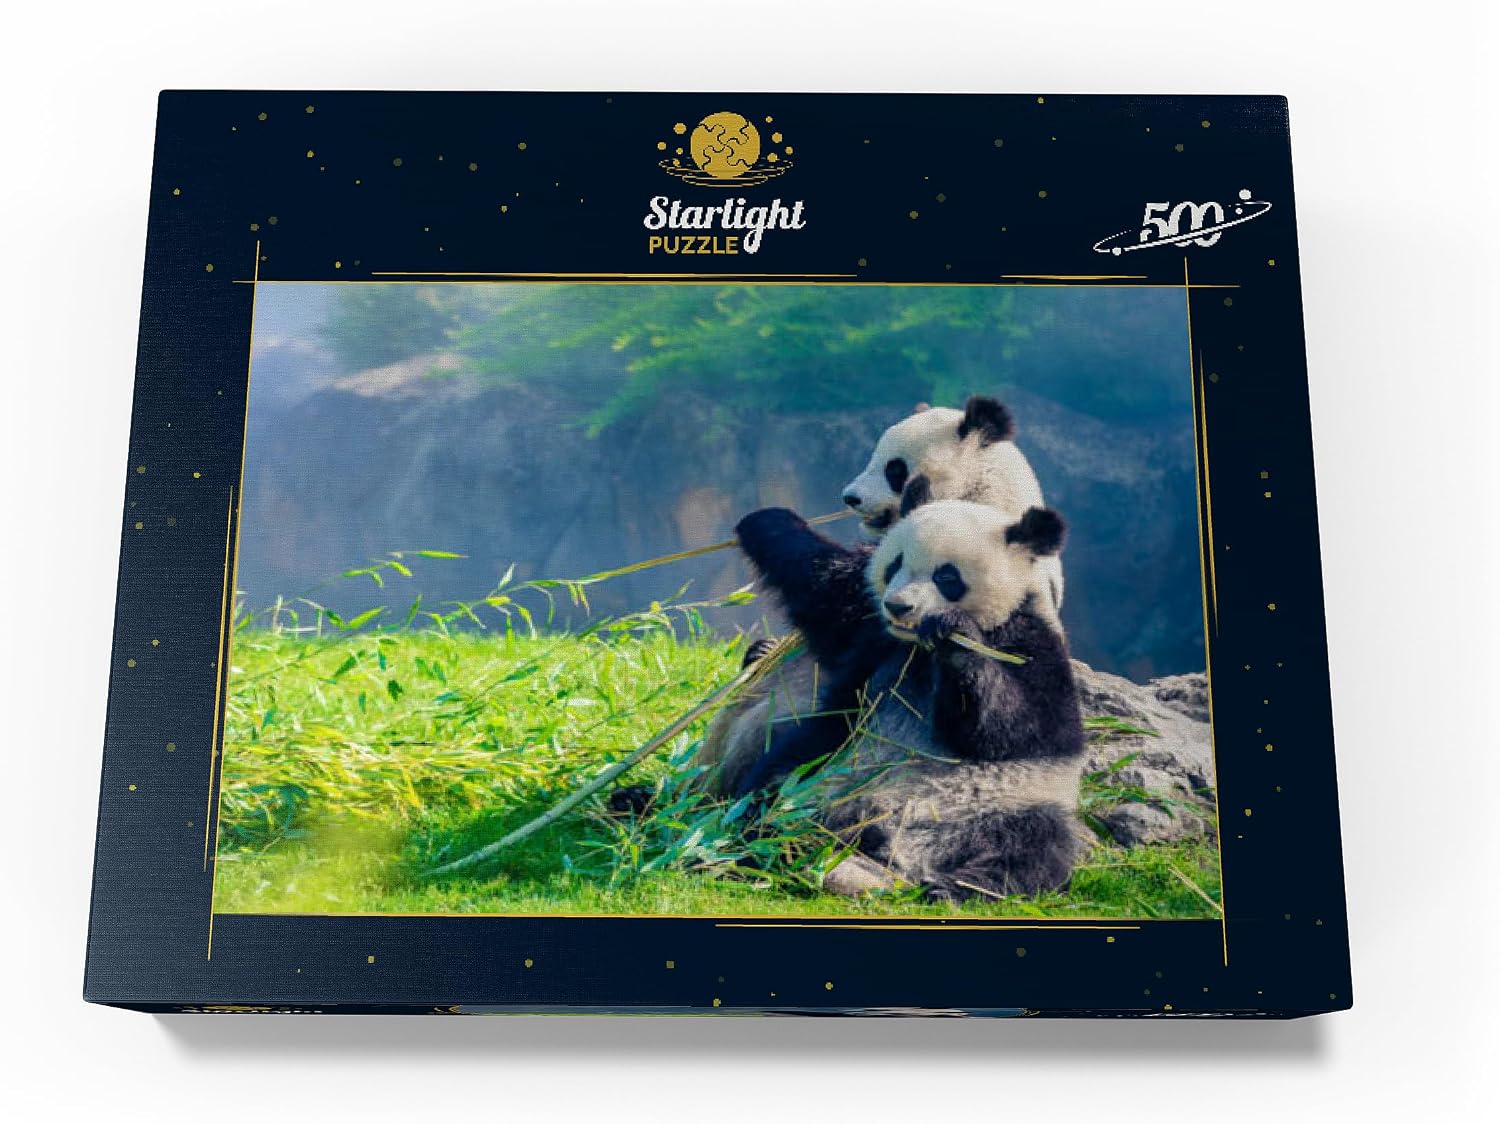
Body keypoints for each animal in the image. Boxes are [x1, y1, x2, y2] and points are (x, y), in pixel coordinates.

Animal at [721, 497, 1087, 899]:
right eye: (895, 563)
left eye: (947, 577)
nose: (898, 607)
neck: (918, 648)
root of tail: (897, 853)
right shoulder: (874, 635)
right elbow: (824, 587)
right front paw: (767, 520)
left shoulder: (1031, 644)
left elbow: (1017, 727)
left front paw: (954, 635)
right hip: (825, 772)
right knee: (775, 786)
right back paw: (764, 839)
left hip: (1008, 804)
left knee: (1034, 847)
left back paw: (953, 888)